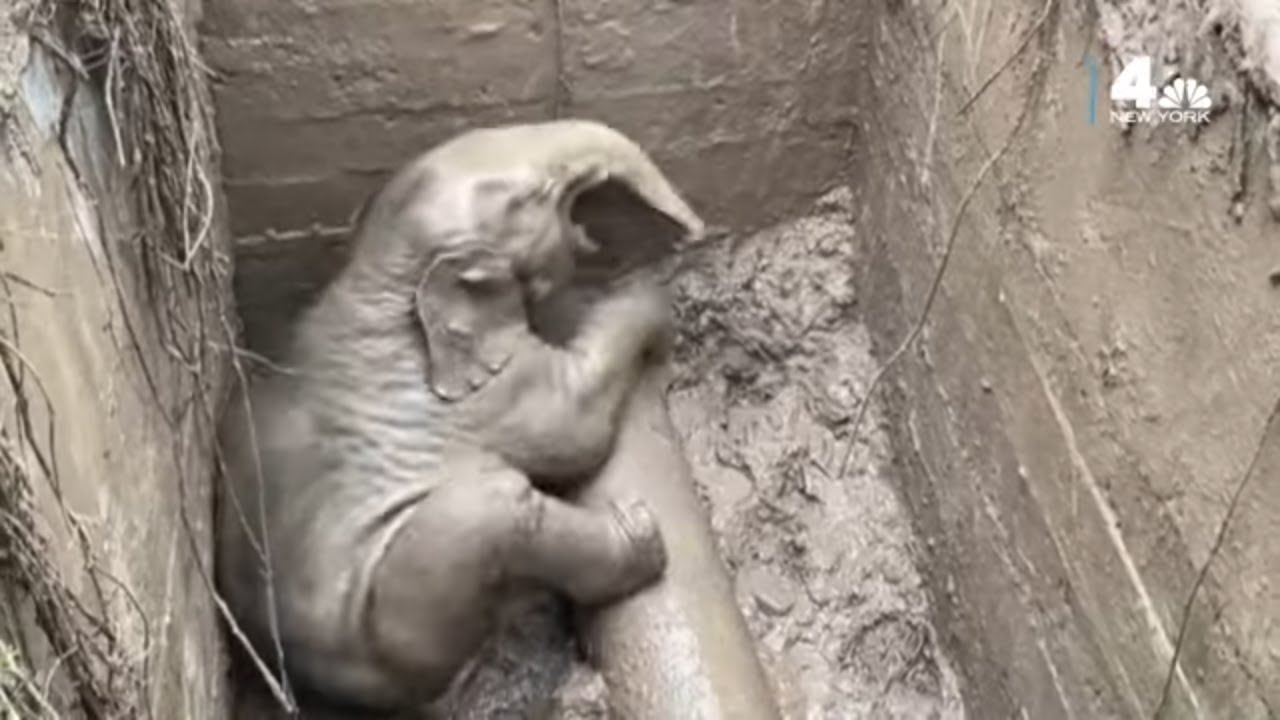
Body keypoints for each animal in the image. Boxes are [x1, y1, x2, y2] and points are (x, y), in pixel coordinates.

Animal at [214, 119, 705, 714]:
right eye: (534, 196)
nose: (691, 232)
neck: (377, 274)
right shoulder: (486, 394)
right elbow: (575, 428)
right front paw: (647, 293)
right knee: (499, 509)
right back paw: (637, 535)